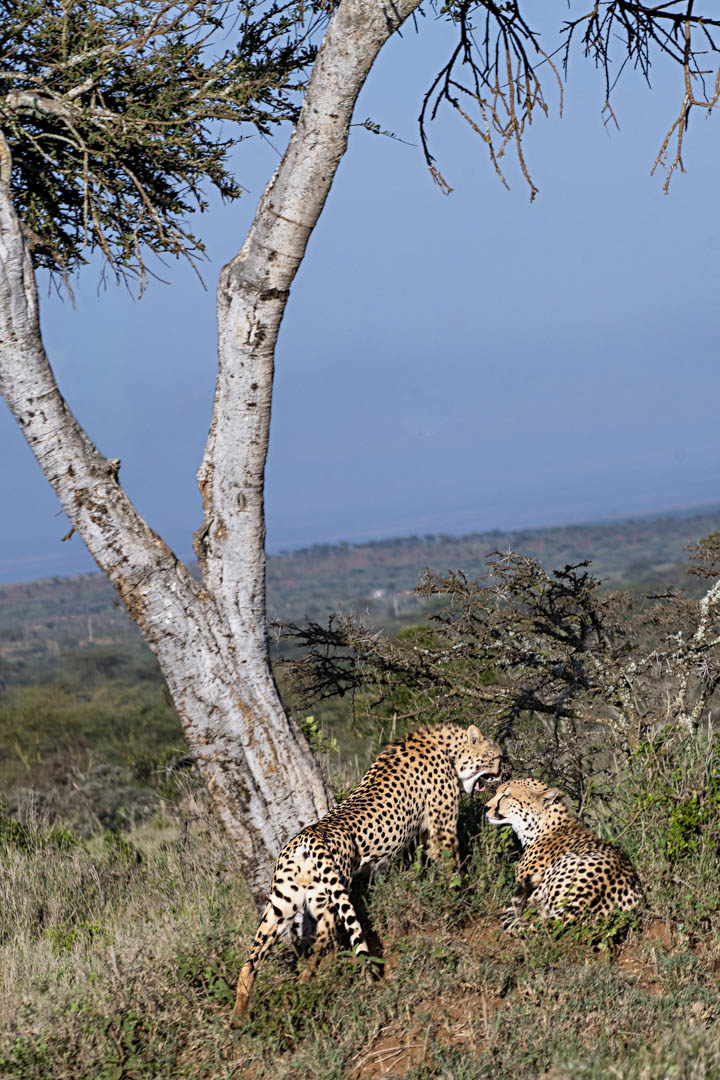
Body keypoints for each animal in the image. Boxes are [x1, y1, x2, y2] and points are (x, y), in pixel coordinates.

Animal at [234, 722, 502, 1015]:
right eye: (496, 756)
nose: (502, 772)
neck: (447, 747)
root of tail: (308, 835)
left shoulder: (425, 833)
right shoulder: (441, 830)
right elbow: (452, 869)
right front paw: (459, 902)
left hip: (282, 905)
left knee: (252, 961)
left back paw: (242, 1013)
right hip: (330, 897)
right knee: (323, 942)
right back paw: (307, 986)